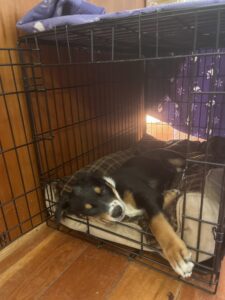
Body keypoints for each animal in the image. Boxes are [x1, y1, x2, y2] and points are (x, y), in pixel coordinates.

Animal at [55, 149, 194, 278]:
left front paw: (177, 255)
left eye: (102, 190)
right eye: (89, 209)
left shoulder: (148, 195)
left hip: (175, 159)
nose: (117, 211)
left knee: (185, 166)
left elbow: (157, 223)